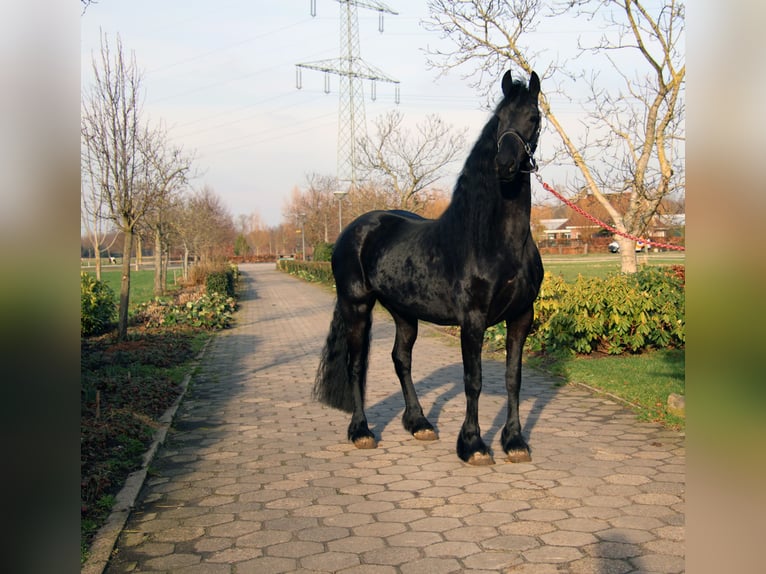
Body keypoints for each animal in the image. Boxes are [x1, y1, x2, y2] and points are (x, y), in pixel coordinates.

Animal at [314, 70, 544, 465]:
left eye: (533, 116)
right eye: (498, 119)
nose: (504, 164)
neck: (495, 241)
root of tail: (355, 229)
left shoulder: (521, 316)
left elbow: (513, 378)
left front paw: (514, 441)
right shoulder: (473, 320)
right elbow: (473, 381)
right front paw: (473, 445)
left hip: (404, 312)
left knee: (400, 359)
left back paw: (419, 422)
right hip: (356, 305)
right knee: (356, 365)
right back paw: (361, 432)